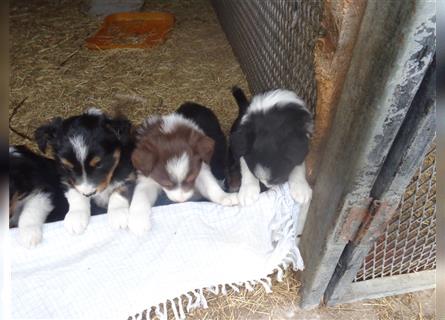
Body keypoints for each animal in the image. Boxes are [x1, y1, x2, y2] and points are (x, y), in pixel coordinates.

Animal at [128, 102, 238, 235]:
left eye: (191, 179)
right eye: (167, 184)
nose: (181, 201)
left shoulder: (201, 169)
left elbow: (211, 186)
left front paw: (225, 197)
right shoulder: (146, 178)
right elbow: (141, 196)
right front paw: (138, 221)